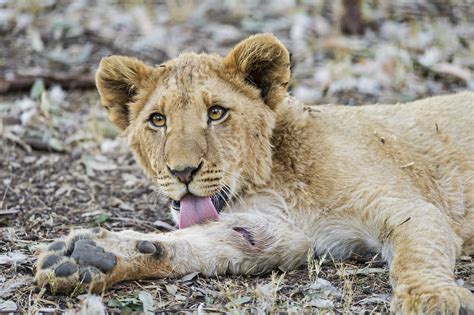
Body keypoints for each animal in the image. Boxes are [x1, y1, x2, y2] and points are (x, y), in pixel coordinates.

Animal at [36, 33, 474, 314]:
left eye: (216, 113)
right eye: (157, 120)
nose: (182, 171)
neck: (272, 177)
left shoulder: (410, 207)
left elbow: (418, 254)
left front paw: (432, 299)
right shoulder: (274, 233)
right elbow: (196, 242)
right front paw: (86, 257)